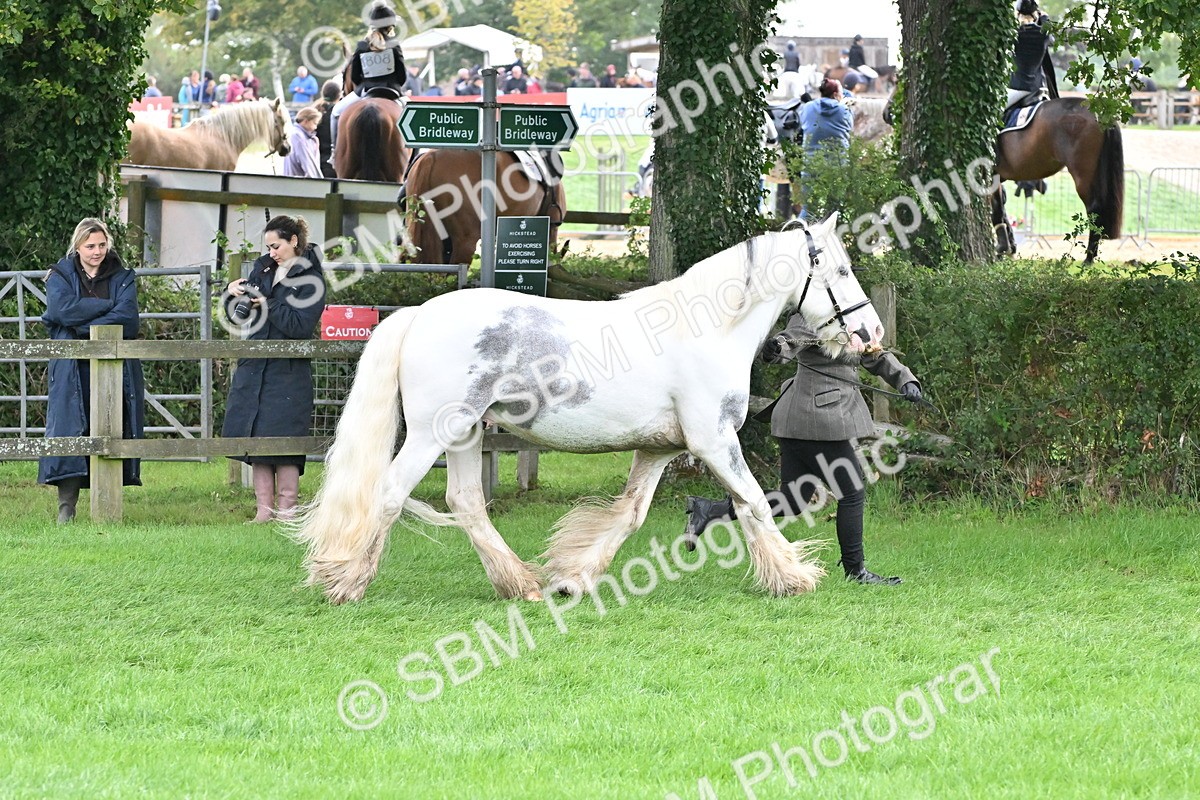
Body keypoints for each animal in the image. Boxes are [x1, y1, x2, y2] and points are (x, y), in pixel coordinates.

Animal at [292, 214, 886, 605]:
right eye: (841, 270)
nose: (870, 333)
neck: (709, 329)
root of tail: (417, 314)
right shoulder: (715, 440)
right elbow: (754, 503)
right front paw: (794, 576)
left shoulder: (659, 450)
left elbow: (631, 514)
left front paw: (571, 578)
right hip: (430, 434)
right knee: (390, 493)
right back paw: (346, 582)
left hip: (464, 434)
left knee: (466, 502)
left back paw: (521, 585)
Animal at [993, 97, 1124, 264]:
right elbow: (1001, 208)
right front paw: (1009, 249)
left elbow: (997, 210)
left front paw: (1002, 249)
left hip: (1083, 174)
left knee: (1094, 208)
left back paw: (1088, 259)